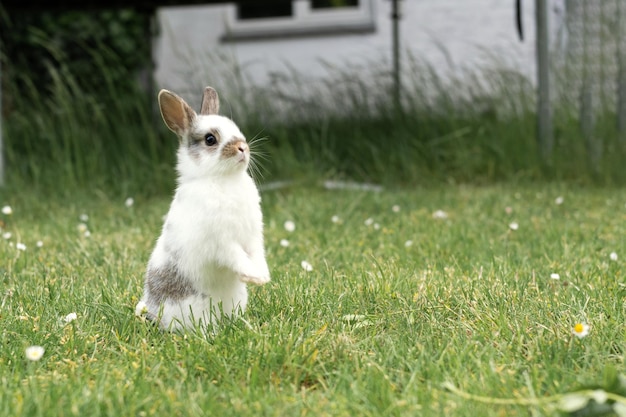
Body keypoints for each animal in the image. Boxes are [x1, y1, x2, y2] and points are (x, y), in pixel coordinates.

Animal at [140, 86, 270, 330]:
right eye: (210, 139)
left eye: (236, 129)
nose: (243, 147)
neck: (222, 178)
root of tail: (151, 311)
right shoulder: (222, 241)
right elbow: (237, 256)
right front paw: (254, 277)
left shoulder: (252, 238)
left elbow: (257, 255)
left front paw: (263, 276)